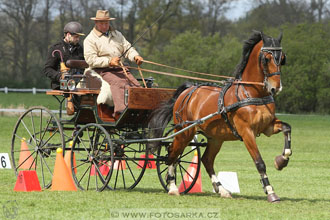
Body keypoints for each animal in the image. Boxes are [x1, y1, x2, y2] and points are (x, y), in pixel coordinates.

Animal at [149, 31, 292, 203]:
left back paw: (222, 189)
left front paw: (281, 161)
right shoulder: (247, 132)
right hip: (184, 132)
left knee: (206, 160)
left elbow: (287, 128)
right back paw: (172, 187)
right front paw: (270, 191)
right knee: (172, 153)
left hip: (215, 138)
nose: (276, 88)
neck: (251, 93)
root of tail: (188, 91)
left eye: (282, 58)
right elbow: (259, 162)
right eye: (266, 58)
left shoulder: (268, 127)